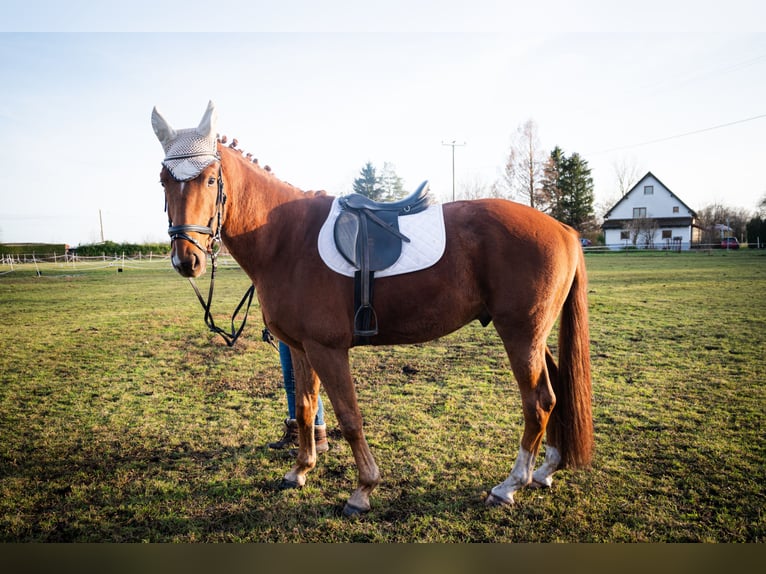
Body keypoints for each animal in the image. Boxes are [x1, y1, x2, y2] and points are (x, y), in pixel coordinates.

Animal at [150, 102, 592, 516]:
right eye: (164, 180)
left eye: (210, 178)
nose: (186, 260)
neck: (284, 237)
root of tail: (563, 229)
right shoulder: (300, 347)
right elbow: (306, 407)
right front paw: (300, 470)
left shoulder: (327, 349)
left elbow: (349, 416)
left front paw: (363, 490)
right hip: (533, 335)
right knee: (555, 391)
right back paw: (545, 471)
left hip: (520, 334)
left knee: (538, 402)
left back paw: (510, 485)